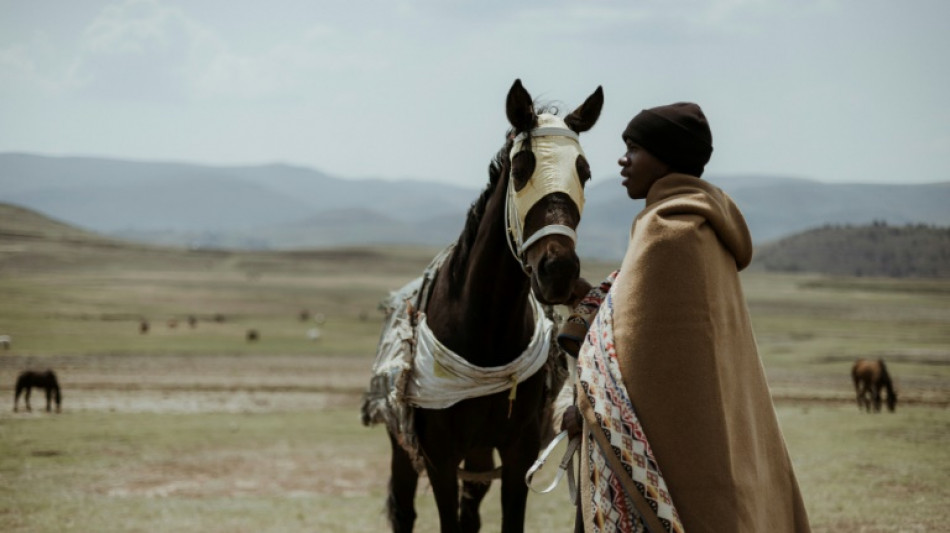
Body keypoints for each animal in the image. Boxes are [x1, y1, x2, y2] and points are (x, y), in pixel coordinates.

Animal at [364, 79, 604, 532]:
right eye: (522, 167)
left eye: (584, 171)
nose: (558, 271)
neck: (484, 332)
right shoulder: (439, 457)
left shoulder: (518, 453)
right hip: (403, 447)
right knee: (404, 511)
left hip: (478, 454)